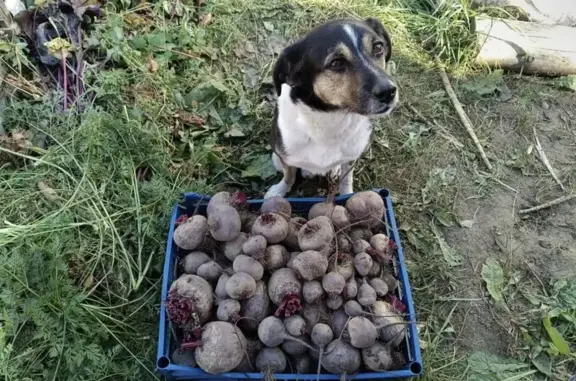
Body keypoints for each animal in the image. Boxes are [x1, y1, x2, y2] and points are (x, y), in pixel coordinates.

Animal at [264, 17, 396, 199]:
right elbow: (288, 174)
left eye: (378, 47)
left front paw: (347, 194)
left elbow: (346, 180)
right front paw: (279, 190)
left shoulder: (352, 157)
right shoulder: (284, 154)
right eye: (336, 63)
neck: (332, 119)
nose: (389, 92)